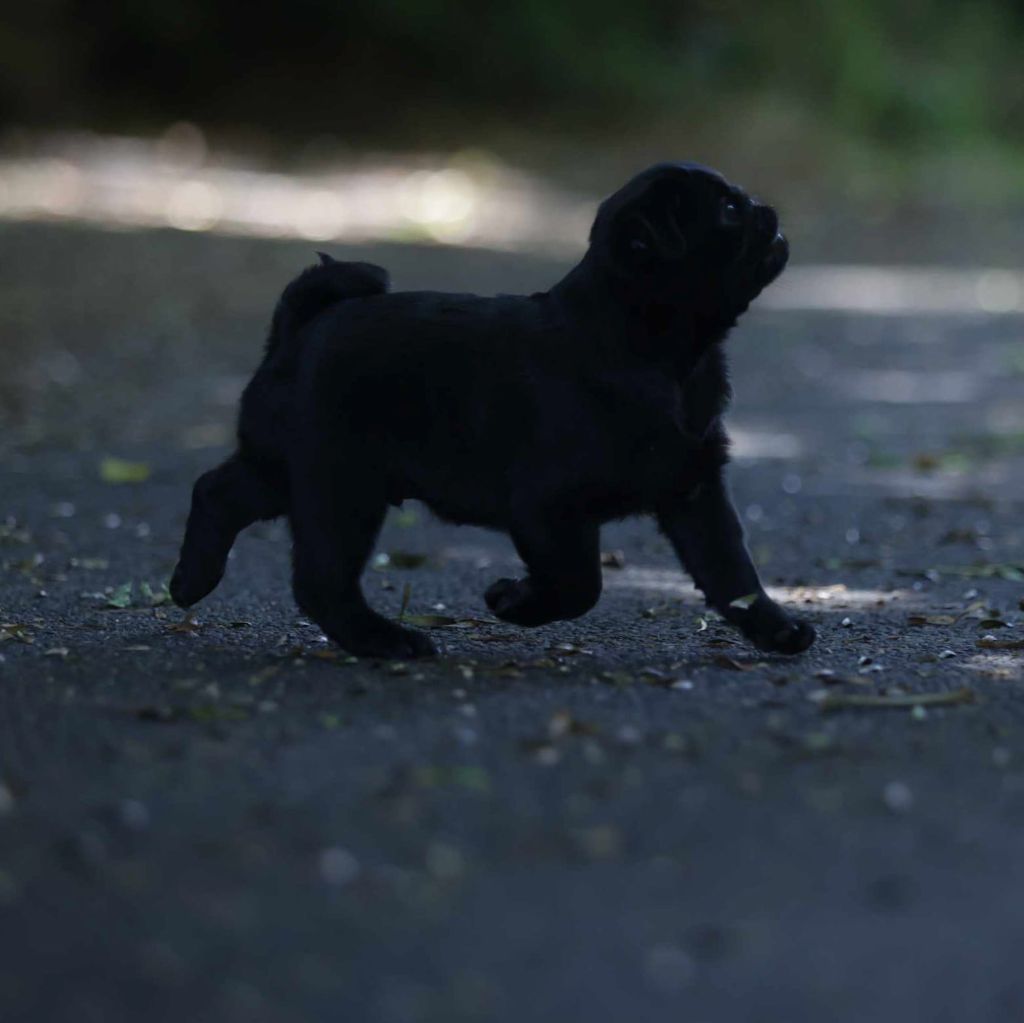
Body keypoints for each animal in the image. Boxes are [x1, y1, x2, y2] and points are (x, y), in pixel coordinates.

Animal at [170, 162, 816, 660]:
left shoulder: (693, 492)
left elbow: (732, 574)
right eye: (728, 210)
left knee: (218, 491)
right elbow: (580, 584)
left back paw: (190, 581)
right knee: (321, 580)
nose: (765, 209)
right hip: (340, 485)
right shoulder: (547, 507)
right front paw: (513, 601)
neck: (666, 355)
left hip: (290, 470)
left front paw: (775, 629)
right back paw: (384, 641)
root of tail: (297, 333)